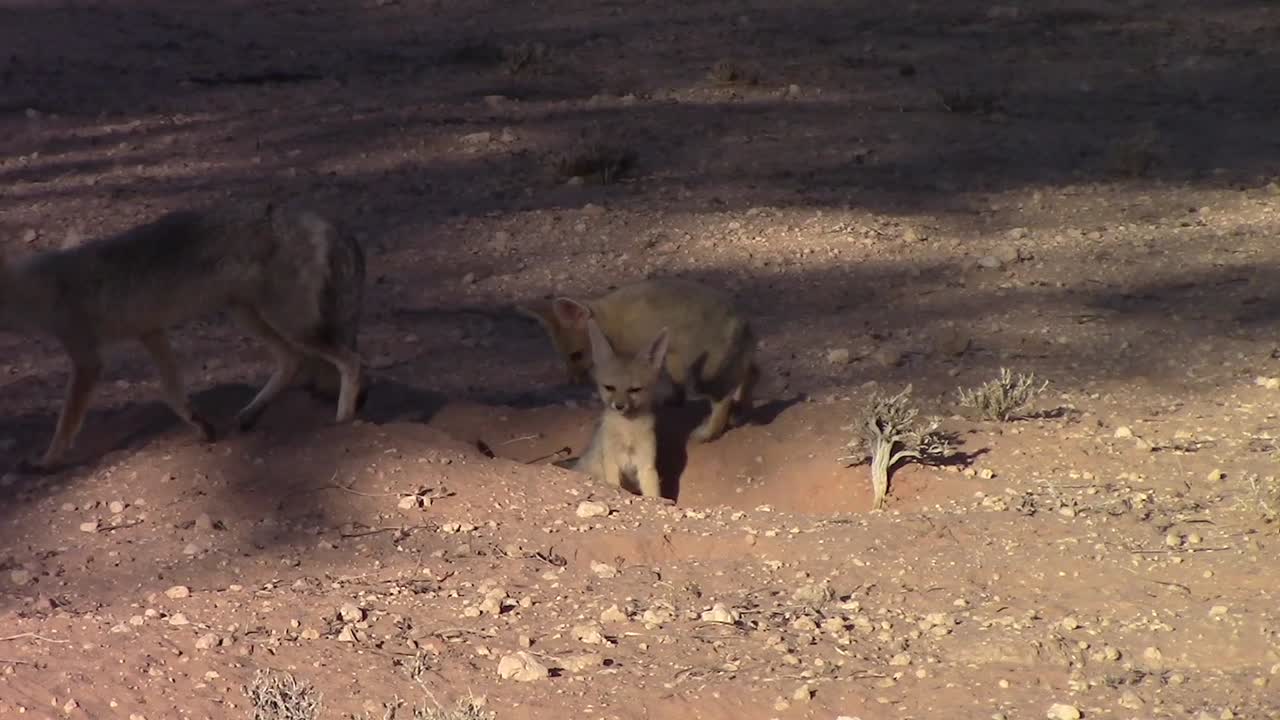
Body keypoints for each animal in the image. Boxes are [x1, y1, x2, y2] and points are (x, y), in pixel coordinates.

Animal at [0, 201, 366, 472]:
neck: (40, 287)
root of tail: (323, 219)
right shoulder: (150, 332)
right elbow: (172, 393)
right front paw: (201, 426)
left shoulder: (87, 359)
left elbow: (64, 425)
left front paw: (46, 461)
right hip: (250, 318)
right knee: (293, 362)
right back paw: (249, 415)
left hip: (289, 324)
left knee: (350, 361)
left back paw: (343, 422)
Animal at [518, 277, 759, 444]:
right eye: (564, 359)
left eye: (576, 355)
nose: (572, 382)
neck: (611, 322)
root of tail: (744, 320)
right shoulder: (671, 355)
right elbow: (676, 383)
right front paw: (673, 400)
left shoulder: (652, 353)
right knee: (751, 375)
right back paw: (740, 411)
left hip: (704, 376)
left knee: (723, 398)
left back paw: (709, 432)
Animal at [555, 317, 669, 498]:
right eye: (609, 388)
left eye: (634, 390)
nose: (619, 406)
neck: (627, 430)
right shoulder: (611, 462)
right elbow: (614, 485)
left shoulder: (646, 465)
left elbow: (653, 494)